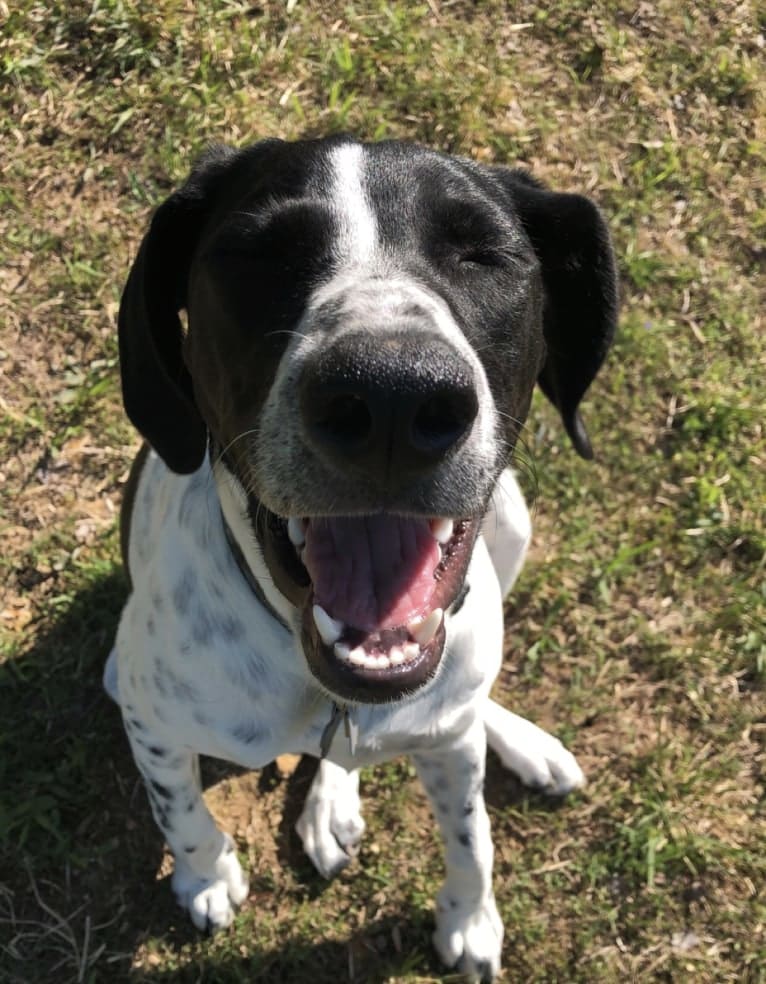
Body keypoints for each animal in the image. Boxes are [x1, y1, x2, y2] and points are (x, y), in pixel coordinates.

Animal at [106, 135, 616, 980]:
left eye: (483, 253)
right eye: (260, 251)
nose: (392, 397)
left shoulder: (447, 743)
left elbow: (472, 837)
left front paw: (470, 919)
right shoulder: (152, 721)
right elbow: (178, 809)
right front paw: (205, 877)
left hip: (512, 522)